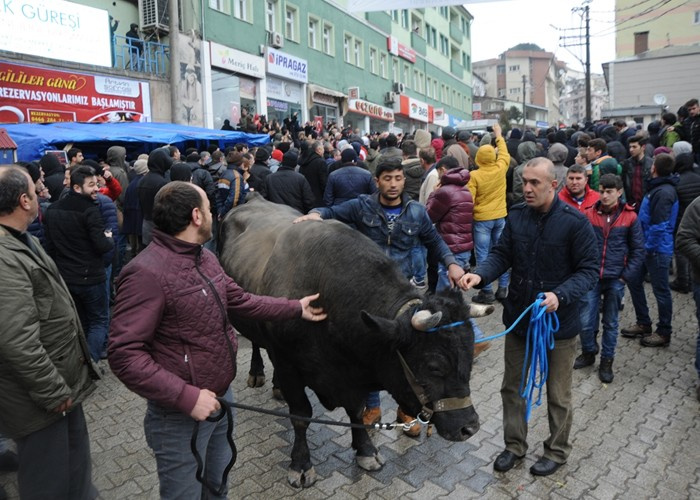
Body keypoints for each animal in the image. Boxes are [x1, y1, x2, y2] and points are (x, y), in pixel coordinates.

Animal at [220, 195, 492, 488]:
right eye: (434, 366)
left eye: (469, 359)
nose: (469, 427)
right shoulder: (288, 363)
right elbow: (301, 416)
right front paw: (301, 464)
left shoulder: (354, 374)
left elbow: (357, 412)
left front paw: (366, 451)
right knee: (256, 342)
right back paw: (257, 373)